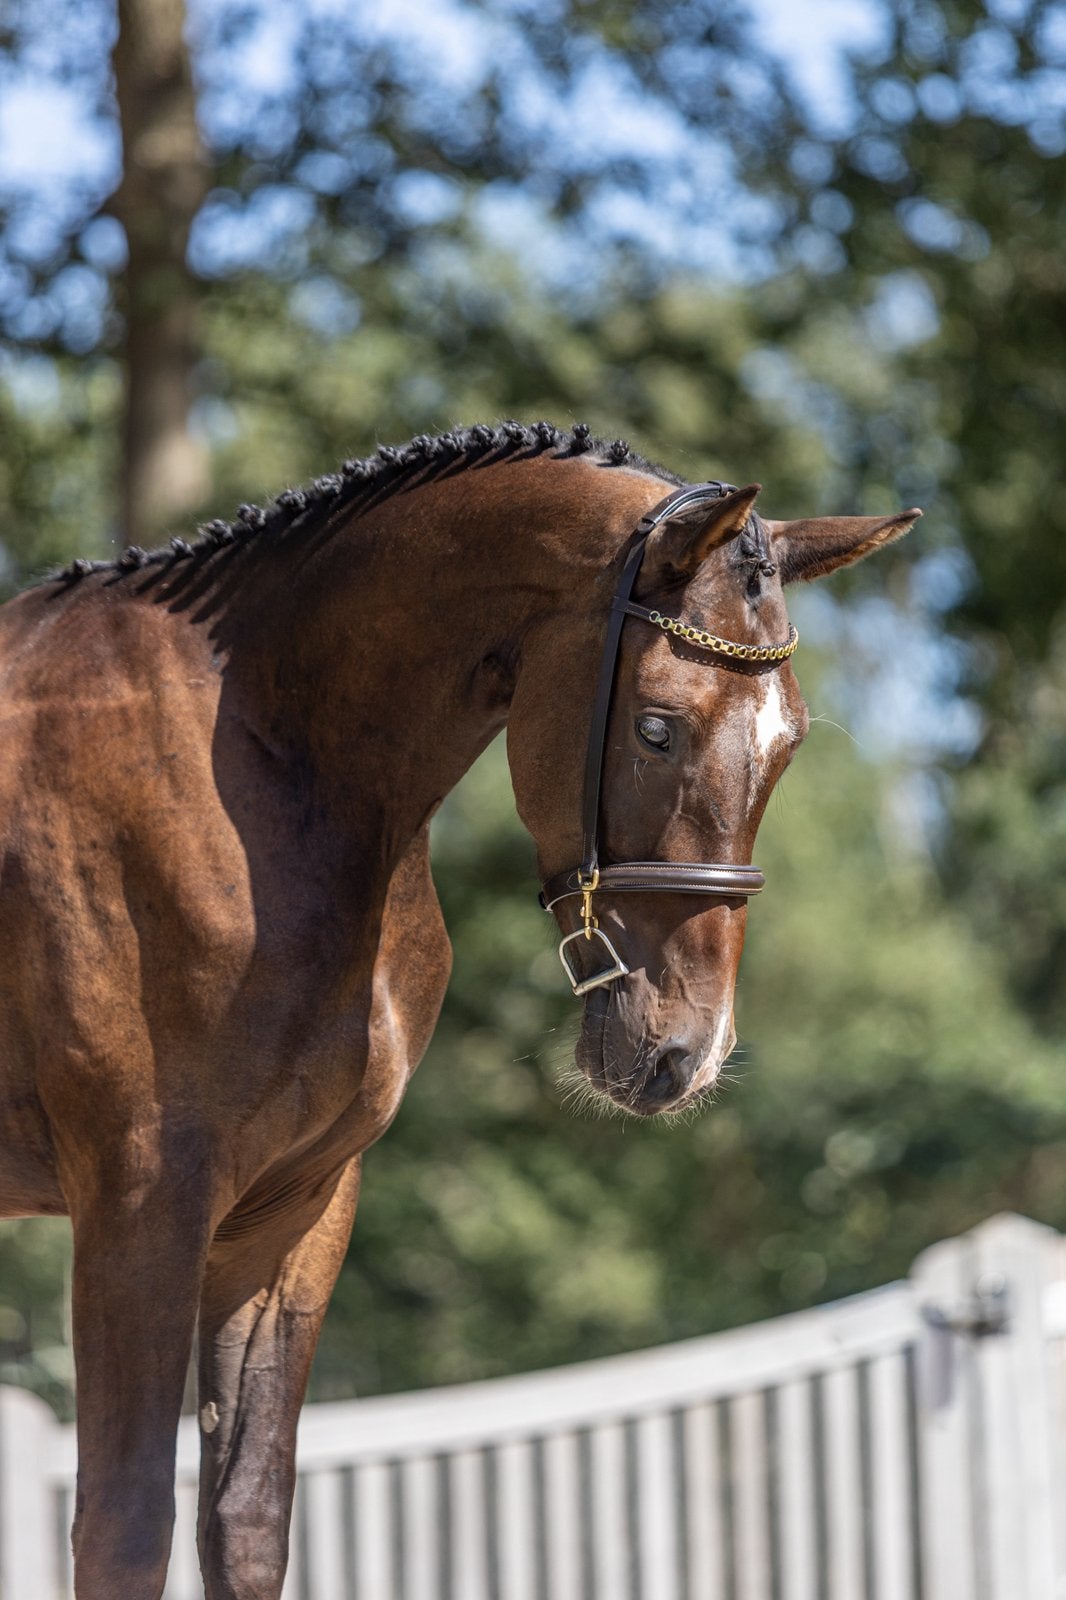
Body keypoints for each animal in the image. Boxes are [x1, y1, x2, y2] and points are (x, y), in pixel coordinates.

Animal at [0, 419, 918, 1599]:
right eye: (657, 728)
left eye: (789, 741)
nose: (686, 1052)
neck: (265, 765)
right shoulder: (139, 1200)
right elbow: (122, 1529)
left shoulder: (291, 1210)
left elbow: (244, 1520)